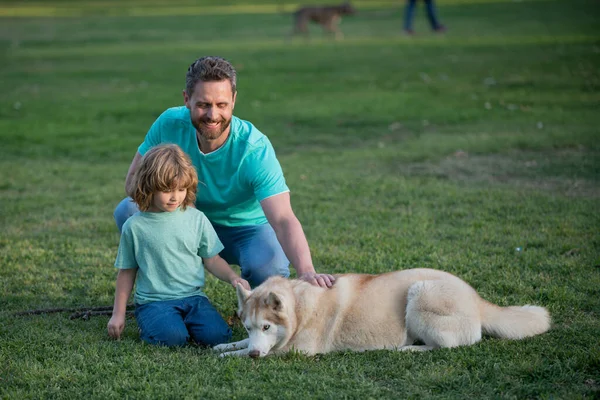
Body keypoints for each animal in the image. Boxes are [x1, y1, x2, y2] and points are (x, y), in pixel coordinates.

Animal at [213, 268, 552, 360]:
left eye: (267, 327)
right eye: (249, 327)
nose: (255, 354)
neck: (301, 308)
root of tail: (477, 298)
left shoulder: (298, 352)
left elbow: (254, 353)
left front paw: (230, 355)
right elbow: (238, 346)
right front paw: (223, 346)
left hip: (419, 294)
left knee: (449, 345)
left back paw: (409, 349)